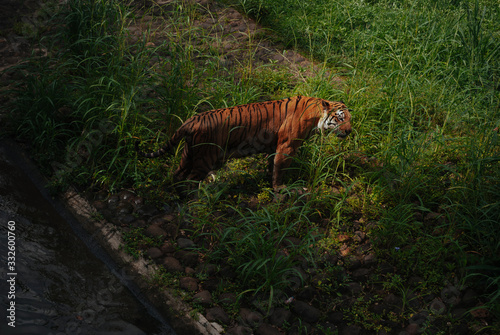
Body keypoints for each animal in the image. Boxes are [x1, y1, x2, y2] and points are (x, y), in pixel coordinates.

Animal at [134, 96, 352, 193]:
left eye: (350, 119)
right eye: (340, 118)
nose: (349, 131)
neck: (316, 117)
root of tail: (192, 119)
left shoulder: (274, 147)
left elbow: (271, 165)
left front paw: (268, 181)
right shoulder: (287, 147)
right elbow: (279, 169)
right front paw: (279, 188)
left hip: (189, 153)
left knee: (177, 175)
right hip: (205, 158)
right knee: (188, 180)